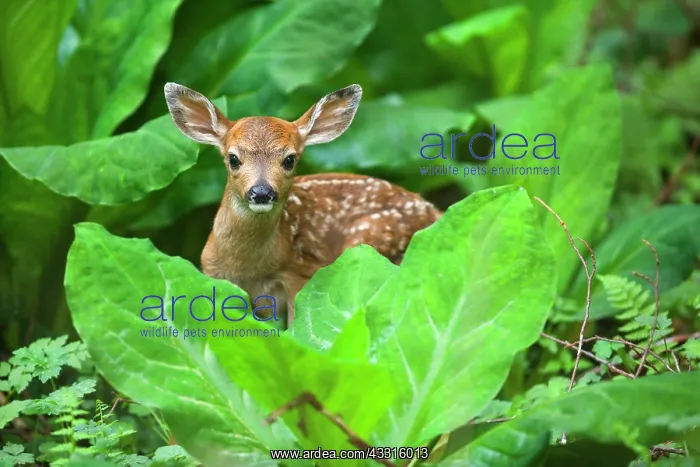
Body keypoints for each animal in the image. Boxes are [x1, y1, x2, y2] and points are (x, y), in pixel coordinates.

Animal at [164, 82, 442, 328]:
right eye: (233, 158)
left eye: (289, 159)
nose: (261, 192)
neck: (249, 268)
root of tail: (436, 213)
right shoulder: (213, 276)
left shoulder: (301, 276)